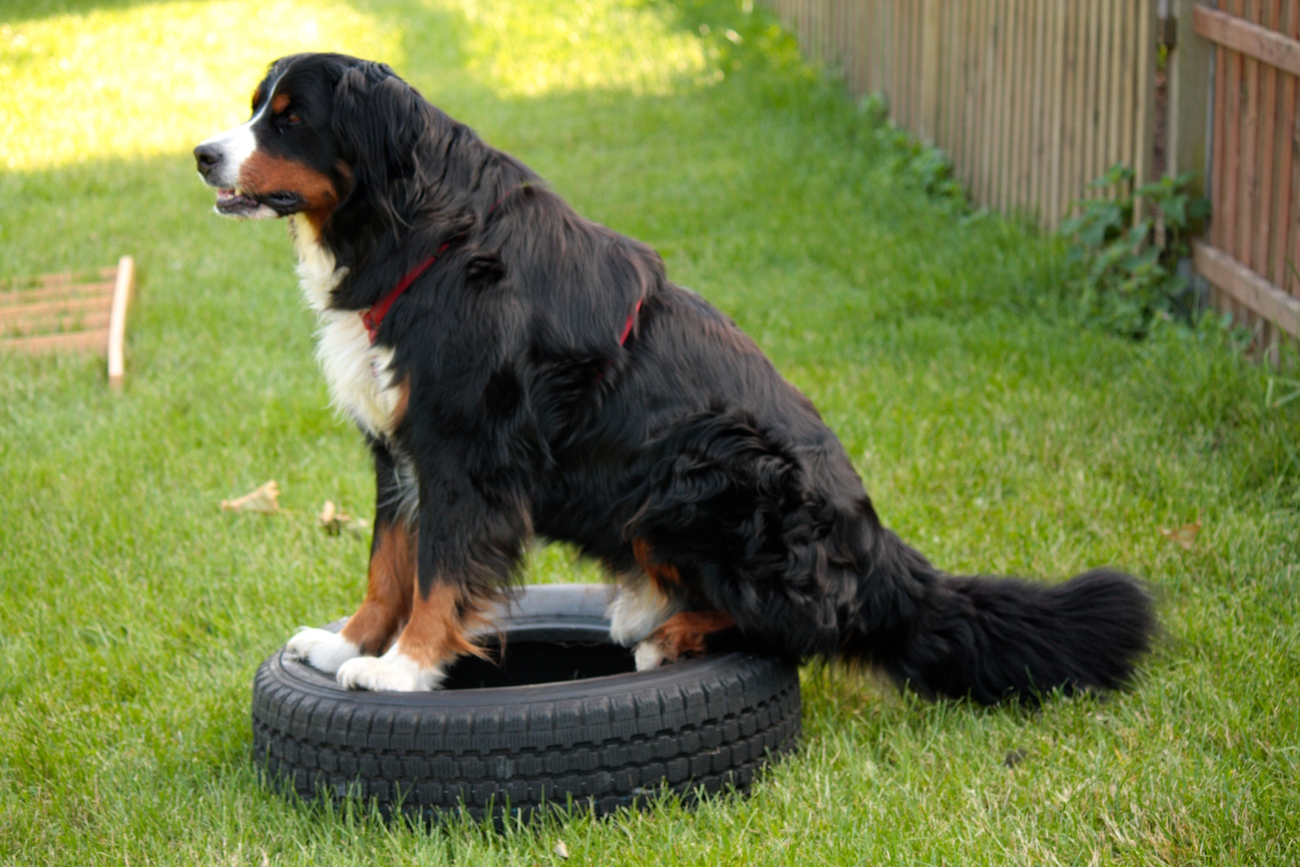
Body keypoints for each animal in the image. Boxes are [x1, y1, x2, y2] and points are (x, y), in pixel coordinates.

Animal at [189, 54, 1149, 701]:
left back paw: (662, 629)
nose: (202, 153)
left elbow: (441, 571)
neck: (412, 232)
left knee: (804, 624)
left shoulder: (466, 449)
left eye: (288, 118)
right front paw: (347, 642)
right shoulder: (401, 448)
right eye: (256, 108)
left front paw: (404, 668)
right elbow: (390, 561)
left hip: (708, 463)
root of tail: (877, 550)